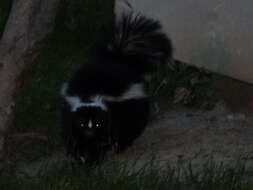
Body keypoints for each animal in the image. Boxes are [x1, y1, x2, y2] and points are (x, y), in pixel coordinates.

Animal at [60, 12, 173, 164]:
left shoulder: (115, 113)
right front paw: (80, 155)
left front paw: (95, 156)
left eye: (97, 124)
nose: (90, 132)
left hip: (135, 107)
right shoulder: (69, 112)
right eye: (82, 123)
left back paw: (122, 145)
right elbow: (72, 135)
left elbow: (109, 135)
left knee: (133, 126)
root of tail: (118, 59)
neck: (91, 94)